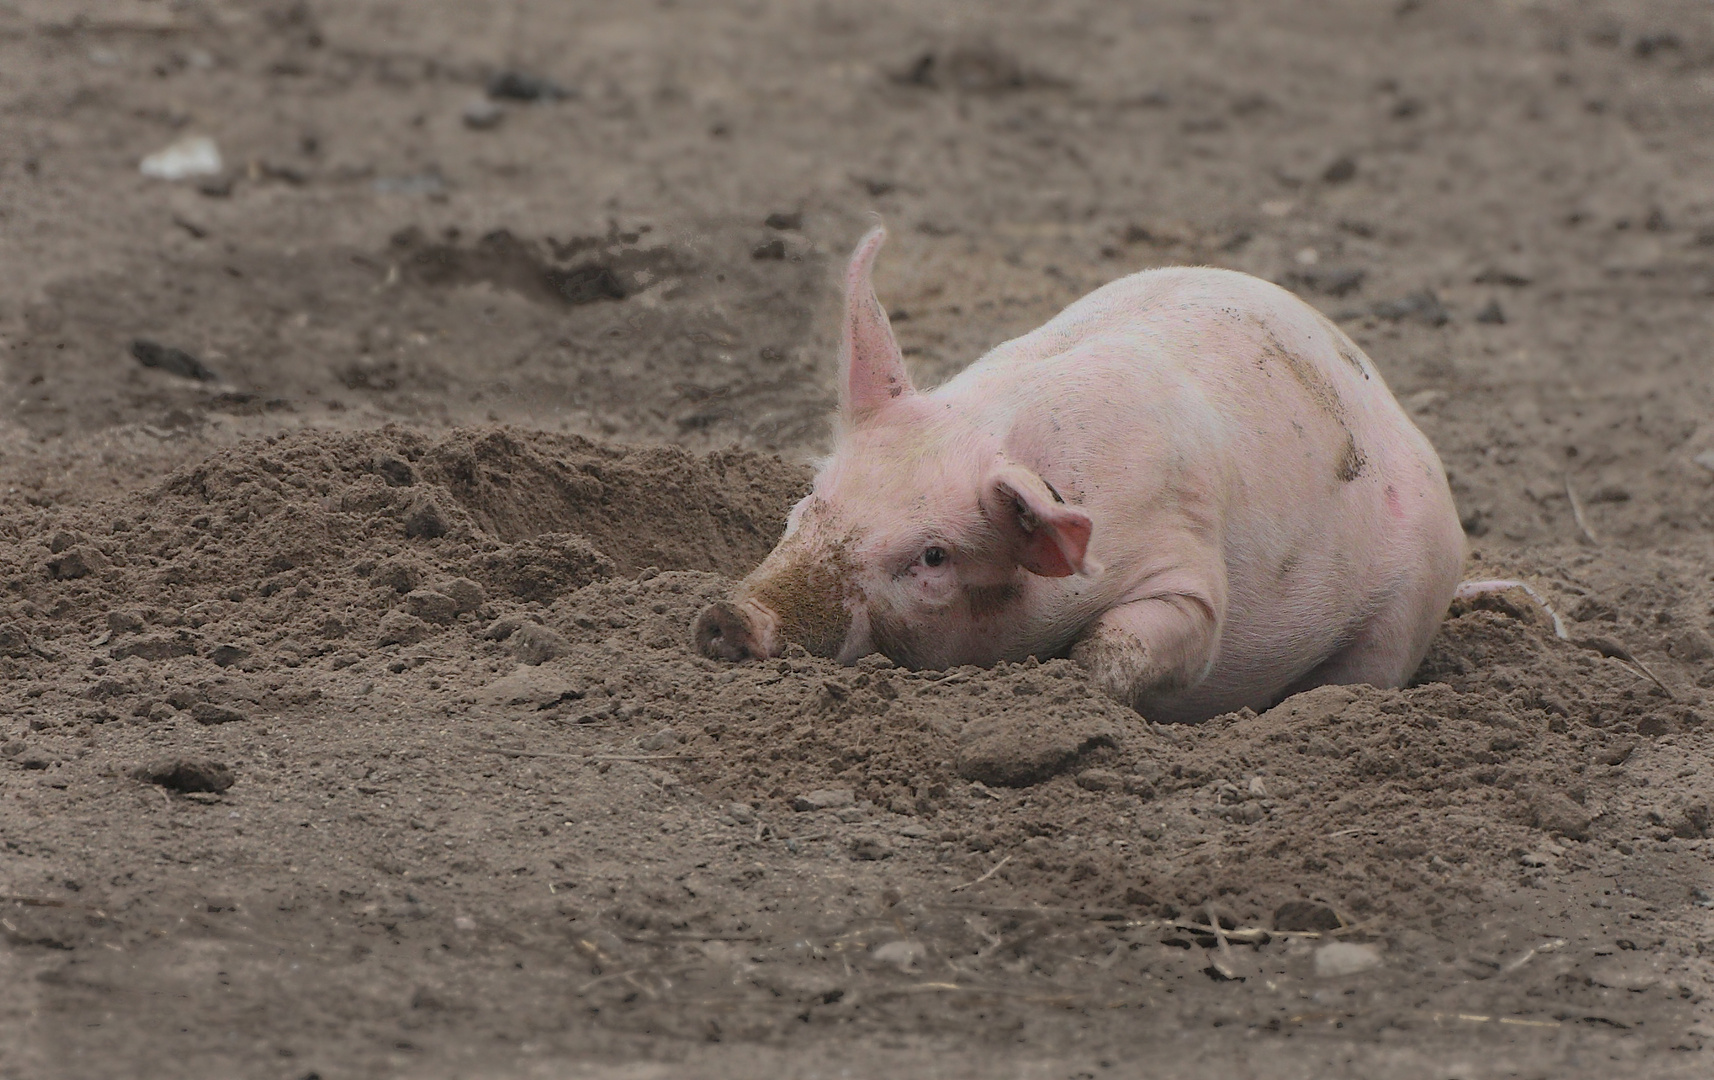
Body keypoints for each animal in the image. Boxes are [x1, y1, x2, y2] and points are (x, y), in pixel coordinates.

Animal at [689, 226, 1467, 726]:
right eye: (808, 502)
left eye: (933, 557)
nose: (731, 617)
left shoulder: (1190, 573)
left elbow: (1126, 643)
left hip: (1405, 612)